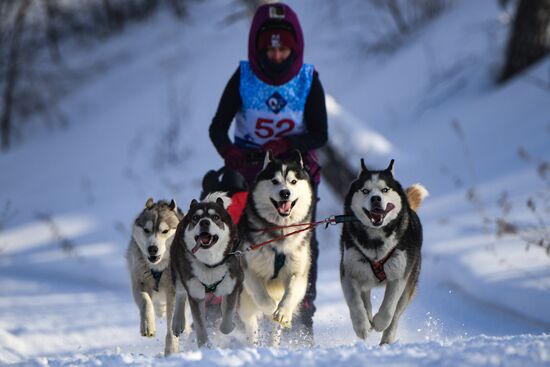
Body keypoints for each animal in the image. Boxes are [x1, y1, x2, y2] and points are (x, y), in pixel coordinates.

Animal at [127, 198, 188, 356]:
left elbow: (172, 321)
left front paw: (171, 349)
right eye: (146, 230)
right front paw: (148, 325)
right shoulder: (139, 282)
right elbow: (145, 301)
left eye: (165, 231)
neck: (159, 268)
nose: (152, 249)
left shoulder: (174, 290)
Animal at [171, 193, 243, 348]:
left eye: (215, 217)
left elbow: (226, 322)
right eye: (195, 218)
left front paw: (230, 325)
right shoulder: (195, 295)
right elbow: (200, 325)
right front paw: (204, 346)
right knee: (180, 294)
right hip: (178, 270)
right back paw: (178, 322)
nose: (204, 222)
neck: (210, 264)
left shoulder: (232, 286)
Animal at [240, 151, 316, 346]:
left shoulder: (298, 270)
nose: (285, 192)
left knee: (275, 331)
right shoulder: (248, 269)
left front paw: (282, 313)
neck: (280, 233)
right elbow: (262, 297)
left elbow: (291, 292)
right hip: (244, 301)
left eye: (293, 181)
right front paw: (271, 308)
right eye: (274, 181)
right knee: (250, 324)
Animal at [340, 160, 432, 346]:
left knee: (396, 314)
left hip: (409, 283)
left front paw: (380, 322)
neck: (376, 241)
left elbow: (389, 308)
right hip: (363, 276)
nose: (376, 198)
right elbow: (355, 302)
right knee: (364, 299)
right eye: (365, 190)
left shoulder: (399, 276)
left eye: (385, 190)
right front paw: (362, 326)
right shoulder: (348, 272)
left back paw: (386, 340)